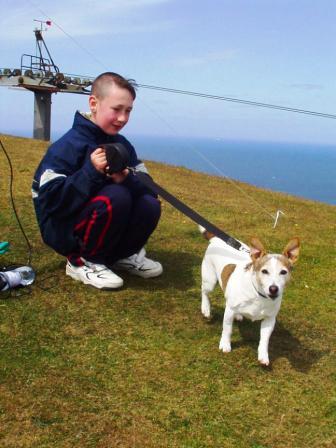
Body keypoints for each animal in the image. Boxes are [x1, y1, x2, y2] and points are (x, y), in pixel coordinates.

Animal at [200, 229, 300, 366]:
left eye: (283, 272)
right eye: (264, 271)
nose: (273, 289)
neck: (259, 295)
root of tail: (216, 239)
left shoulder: (270, 319)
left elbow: (264, 339)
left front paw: (263, 356)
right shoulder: (229, 311)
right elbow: (227, 329)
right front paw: (225, 344)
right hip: (209, 281)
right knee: (204, 291)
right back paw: (205, 308)